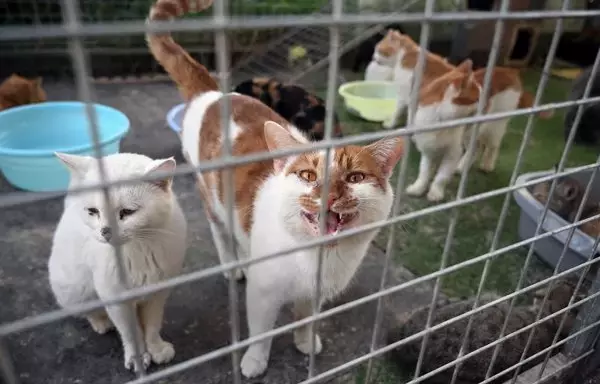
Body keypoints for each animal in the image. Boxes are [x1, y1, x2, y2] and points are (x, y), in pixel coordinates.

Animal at [48, 152, 186, 372]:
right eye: (93, 211)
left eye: (127, 212)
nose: (106, 232)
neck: (138, 251)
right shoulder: (116, 300)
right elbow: (130, 333)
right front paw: (138, 357)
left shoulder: (157, 294)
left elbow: (152, 325)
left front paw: (156, 349)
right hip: (77, 293)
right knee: (91, 312)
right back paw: (102, 323)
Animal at [148, 0, 406, 378]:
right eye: (308, 176)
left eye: (355, 178)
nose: (329, 194)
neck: (316, 257)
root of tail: (213, 94)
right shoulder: (263, 293)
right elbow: (261, 332)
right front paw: (255, 362)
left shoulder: (314, 295)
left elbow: (305, 319)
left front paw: (305, 342)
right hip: (211, 197)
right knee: (219, 229)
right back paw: (232, 265)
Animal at [406, 59, 552, 202]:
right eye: (478, 98)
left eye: (484, 96)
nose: (486, 103)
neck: (441, 122)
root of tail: (509, 70)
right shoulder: (428, 148)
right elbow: (424, 171)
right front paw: (418, 187)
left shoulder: (453, 152)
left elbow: (442, 176)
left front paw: (436, 192)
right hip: (471, 132)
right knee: (476, 147)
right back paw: (462, 166)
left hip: (494, 126)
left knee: (492, 146)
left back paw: (487, 165)